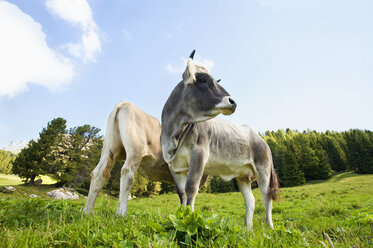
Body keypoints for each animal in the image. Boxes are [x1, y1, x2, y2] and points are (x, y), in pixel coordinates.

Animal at [161, 50, 280, 229]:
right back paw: (248, 229)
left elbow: (191, 188)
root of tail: (261, 140)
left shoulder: (199, 154)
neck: (173, 133)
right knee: (250, 200)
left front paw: (190, 218)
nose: (233, 101)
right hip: (243, 175)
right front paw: (182, 217)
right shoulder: (175, 167)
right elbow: (181, 194)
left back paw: (270, 227)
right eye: (203, 80)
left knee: (267, 198)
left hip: (264, 169)